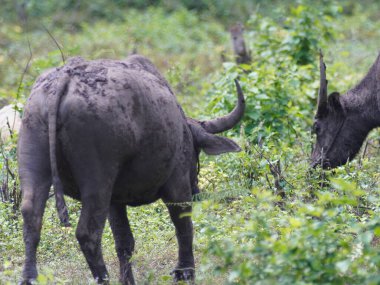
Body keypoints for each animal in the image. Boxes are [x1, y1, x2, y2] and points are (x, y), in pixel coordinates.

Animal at [17, 54, 245, 282]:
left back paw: (29, 277)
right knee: (87, 233)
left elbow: (124, 241)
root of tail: (64, 79)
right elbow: (184, 227)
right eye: (196, 151)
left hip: (36, 168)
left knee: (31, 219)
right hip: (97, 182)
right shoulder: (177, 185)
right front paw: (185, 271)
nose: (196, 189)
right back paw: (103, 278)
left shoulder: (115, 202)